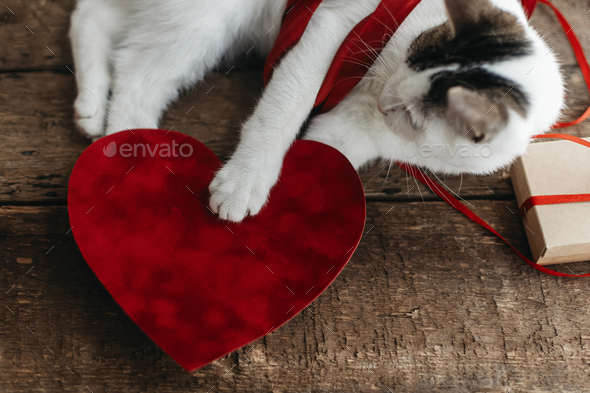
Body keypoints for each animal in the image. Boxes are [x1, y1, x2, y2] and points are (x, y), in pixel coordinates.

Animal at [71, 0, 568, 222]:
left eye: (412, 117)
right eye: (410, 55)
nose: (386, 98)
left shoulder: (363, 127)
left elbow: (331, 148)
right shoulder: (331, 26)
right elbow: (284, 108)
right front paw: (246, 180)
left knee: (97, 16)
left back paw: (91, 107)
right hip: (207, 21)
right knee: (136, 73)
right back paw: (132, 150)